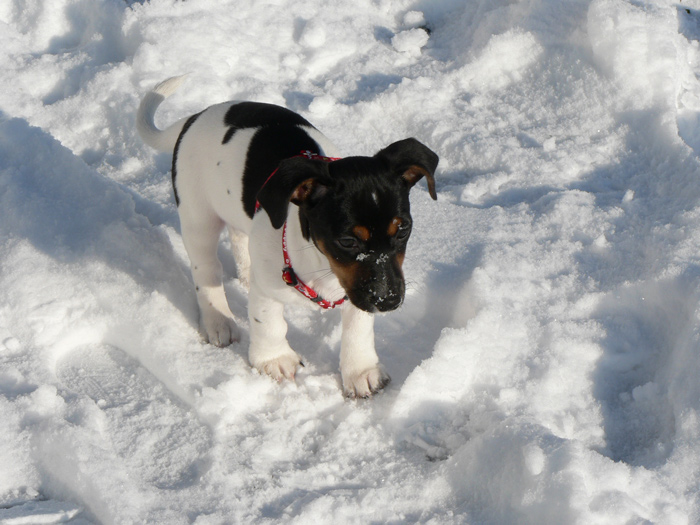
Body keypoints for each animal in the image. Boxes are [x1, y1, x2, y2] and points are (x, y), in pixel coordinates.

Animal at [138, 75, 438, 398]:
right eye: (348, 241)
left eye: (403, 229)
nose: (389, 301)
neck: (321, 263)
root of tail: (195, 117)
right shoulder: (278, 287)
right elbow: (268, 322)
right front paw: (274, 359)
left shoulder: (359, 288)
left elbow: (358, 326)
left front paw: (360, 370)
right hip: (198, 216)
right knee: (206, 270)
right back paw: (217, 319)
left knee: (239, 240)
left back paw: (246, 276)